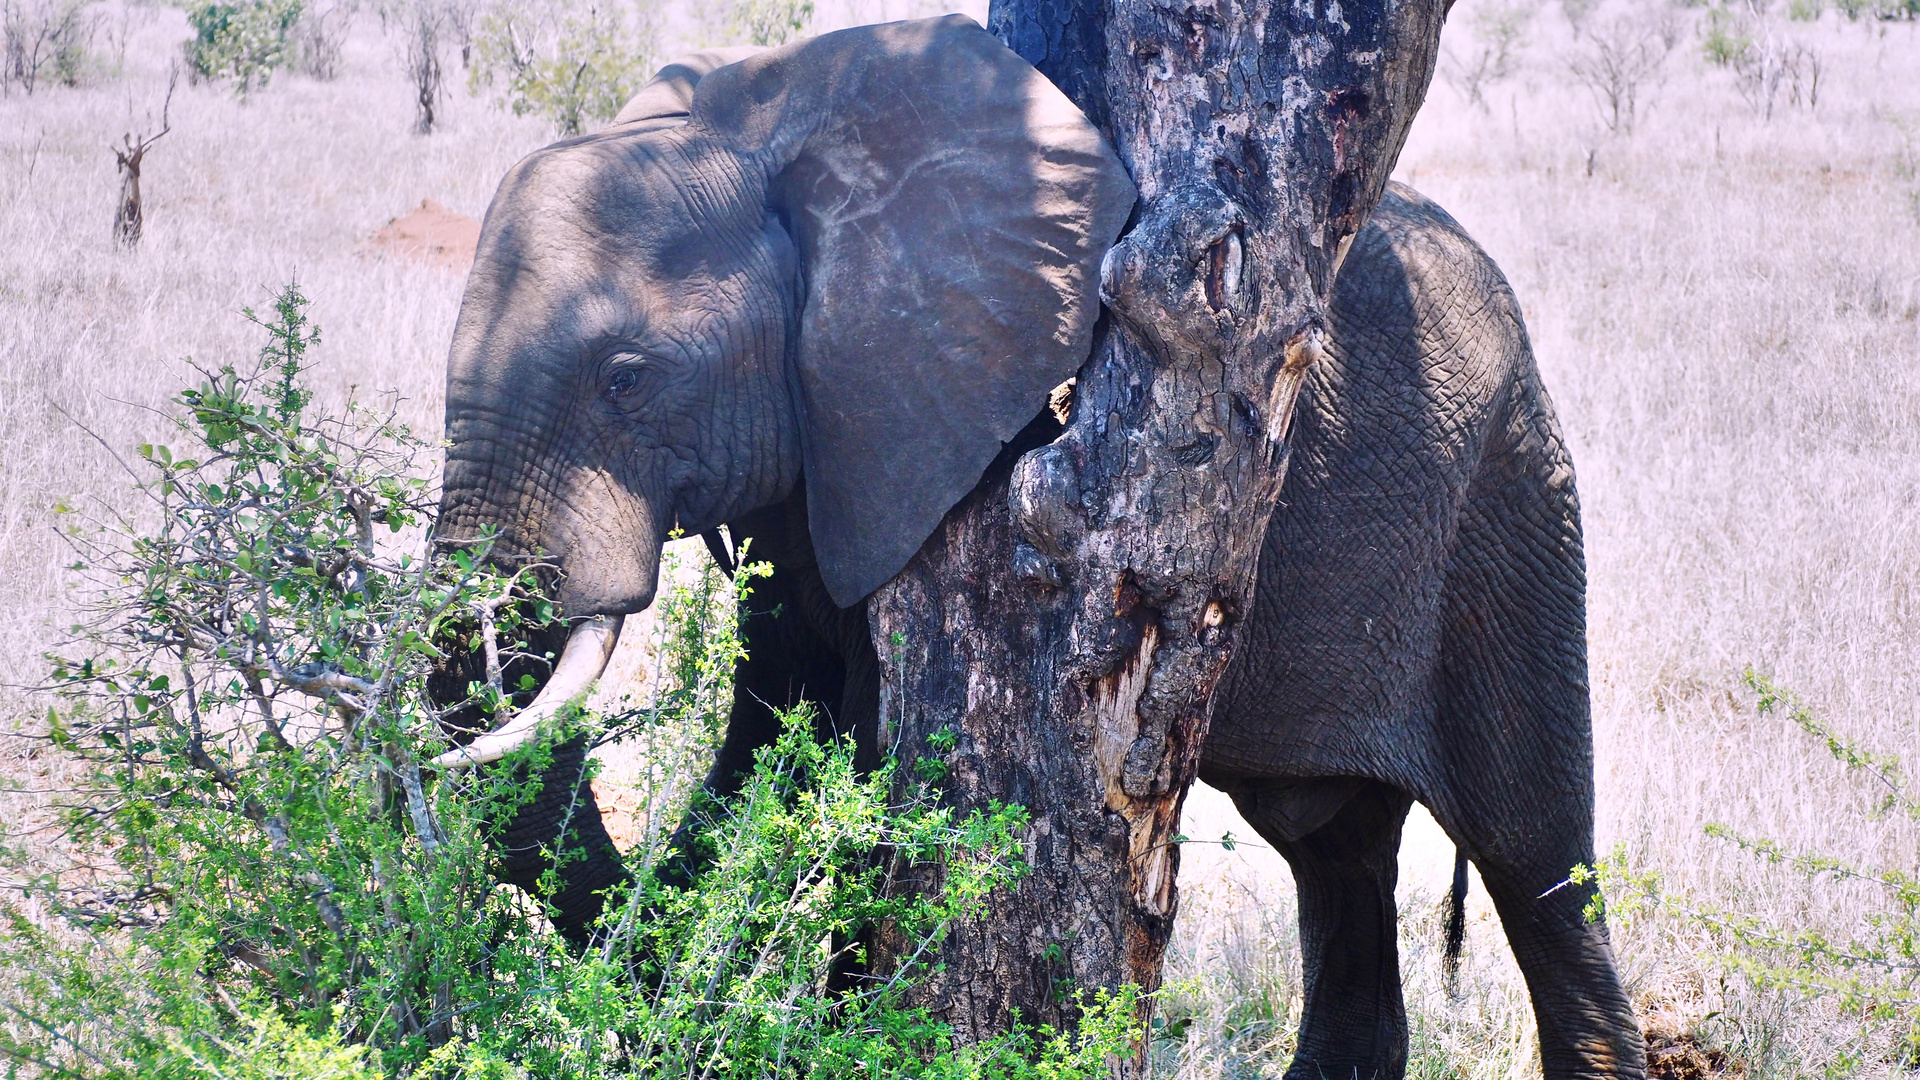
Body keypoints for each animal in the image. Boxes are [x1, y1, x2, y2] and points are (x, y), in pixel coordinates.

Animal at [428, 14, 1643, 1076]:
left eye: (625, 380)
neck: (770, 126)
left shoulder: (964, 430)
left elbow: (858, 752)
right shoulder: (828, 444)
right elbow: (776, 729)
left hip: (1511, 501)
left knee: (1538, 864)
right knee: (1337, 852)